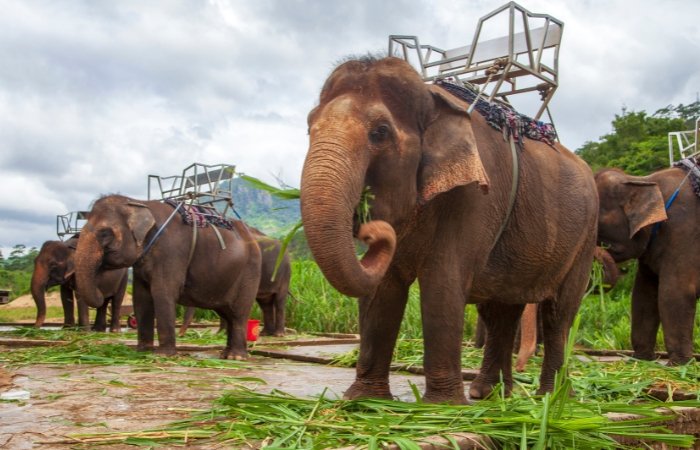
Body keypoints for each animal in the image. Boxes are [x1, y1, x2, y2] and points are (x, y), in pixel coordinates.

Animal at [73, 195, 262, 359]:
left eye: (105, 233)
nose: (101, 292)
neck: (139, 203)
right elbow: (141, 298)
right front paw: (142, 351)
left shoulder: (171, 252)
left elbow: (162, 293)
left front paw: (163, 356)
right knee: (227, 313)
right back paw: (225, 354)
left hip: (249, 271)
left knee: (238, 312)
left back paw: (236, 357)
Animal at [300, 56, 599, 403]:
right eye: (309, 127)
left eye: (380, 132)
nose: (369, 228)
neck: (432, 99)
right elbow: (383, 289)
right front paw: (364, 400)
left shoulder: (476, 196)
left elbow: (442, 280)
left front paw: (442, 406)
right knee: (501, 310)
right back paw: (491, 395)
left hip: (584, 240)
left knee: (558, 314)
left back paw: (552, 398)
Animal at [595, 164, 699, 364]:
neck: (644, 180)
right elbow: (644, 295)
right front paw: (641, 360)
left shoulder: (684, 232)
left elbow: (674, 292)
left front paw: (679, 365)